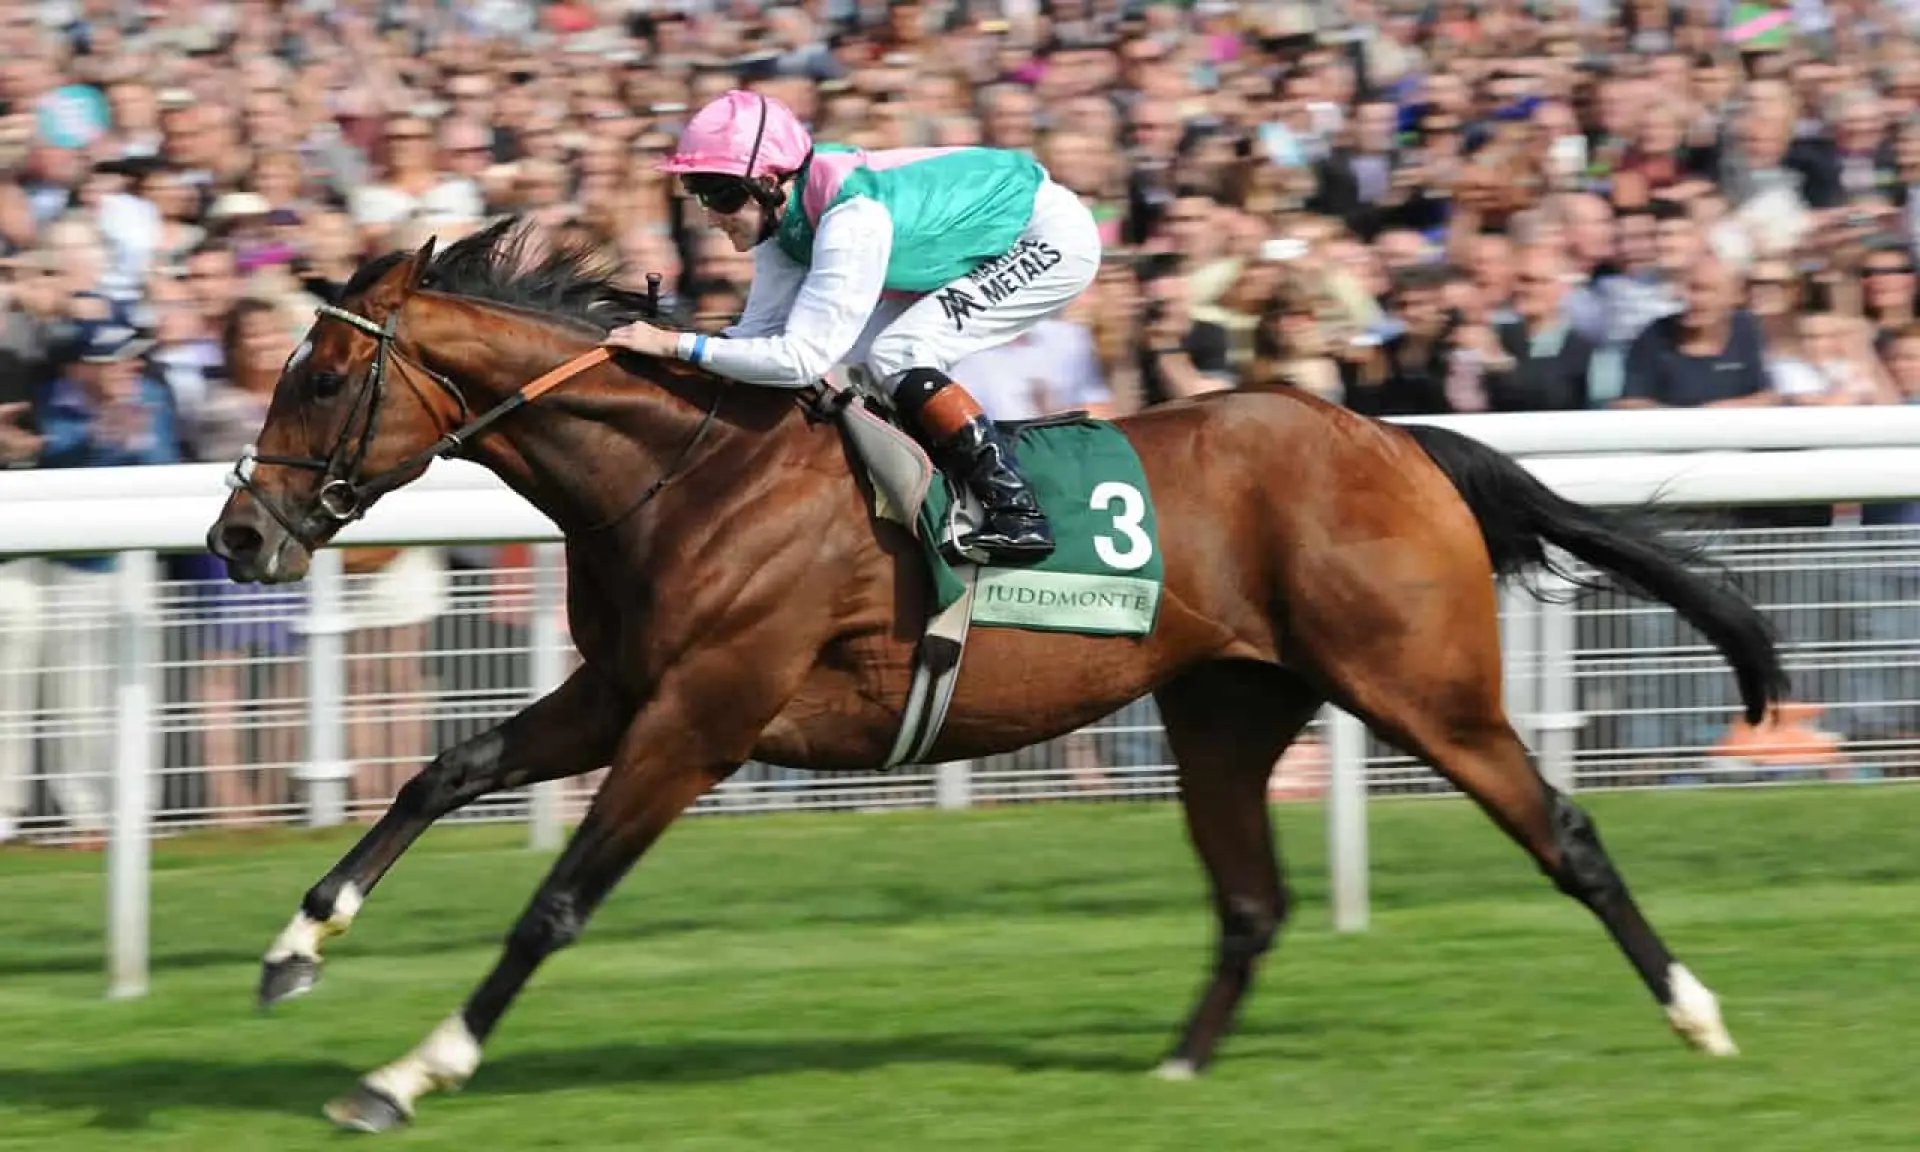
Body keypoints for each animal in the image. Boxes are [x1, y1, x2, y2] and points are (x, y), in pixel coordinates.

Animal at [206, 217, 1781, 1136]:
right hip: (1225, 708)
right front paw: (295, 948)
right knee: (1252, 902)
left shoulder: (702, 715)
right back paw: (1175, 1075)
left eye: (322, 380)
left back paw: (1701, 1017)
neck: (687, 470)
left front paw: (407, 1072)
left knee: (1565, 832)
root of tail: (1397, 438)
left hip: (1423, 688)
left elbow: (557, 901)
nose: (237, 536)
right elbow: (445, 768)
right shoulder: (622, 690)